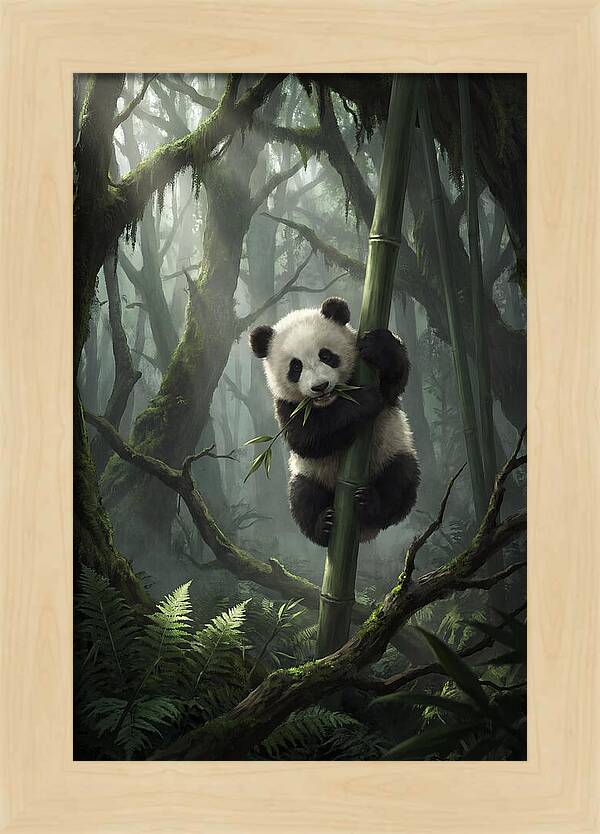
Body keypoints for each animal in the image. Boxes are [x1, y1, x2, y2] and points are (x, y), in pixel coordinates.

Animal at [249, 296, 420, 547]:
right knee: (303, 497)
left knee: (400, 479)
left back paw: (371, 504)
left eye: (326, 355)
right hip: (310, 474)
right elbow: (307, 438)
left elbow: (394, 382)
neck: (331, 401)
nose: (320, 387)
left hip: (391, 451)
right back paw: (324, 526)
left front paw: (379, 346)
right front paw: (365, 399)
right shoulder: (286, 405)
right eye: (296, 367)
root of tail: (363, 533)